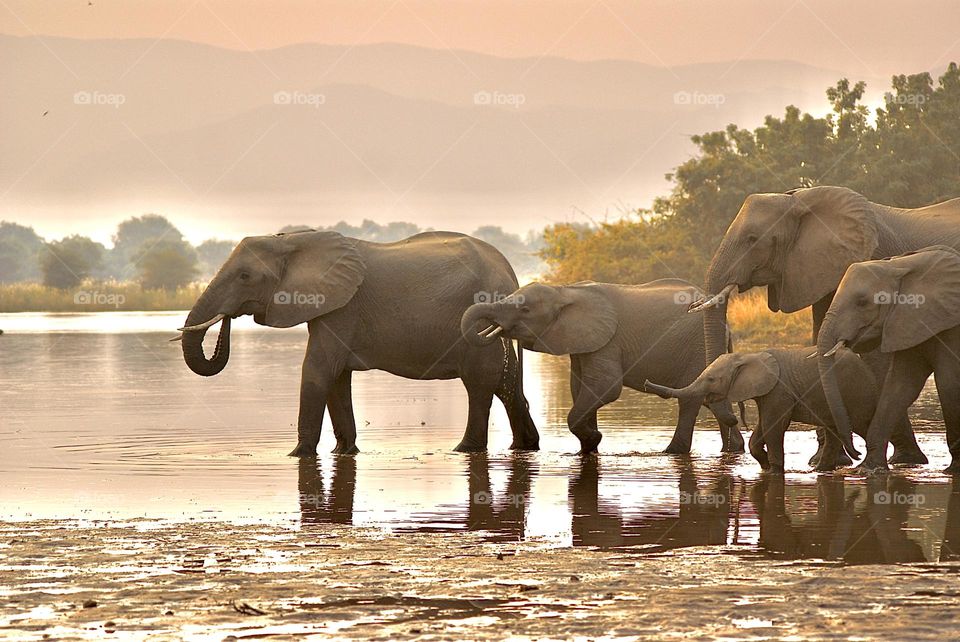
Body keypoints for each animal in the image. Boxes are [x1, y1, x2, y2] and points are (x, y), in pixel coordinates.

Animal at [178, 230, 540, 456]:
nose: (227, 318)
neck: (294, 240)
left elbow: (317, 371)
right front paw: (344, 451)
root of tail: (510, 272)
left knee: (479, 383)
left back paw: (464, 449)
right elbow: (336, 379)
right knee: (505, 383)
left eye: (245, 277)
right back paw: (525, 446)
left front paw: (297, 455)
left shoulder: (341, 309)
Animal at [462, 278, 748, 452]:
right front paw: (590, 446)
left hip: (696, 347)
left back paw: (671, 453)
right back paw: (733, 449)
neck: (564, 290)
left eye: (525, 311)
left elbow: (606, 387)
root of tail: (727, 328)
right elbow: (580, 388)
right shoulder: (582, 343)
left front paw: (593, 440)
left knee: (689, 400)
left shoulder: (607, 341)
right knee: (709, 398)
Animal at [644, 344, 876, 470]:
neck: (748, 357)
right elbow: (762, 426)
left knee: (864, 425)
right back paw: (820, 470)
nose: (646, 383)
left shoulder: (779, 390)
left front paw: (774, 470)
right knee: (834, 433)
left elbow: (774, 427)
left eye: (711, 379)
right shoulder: (767, 392)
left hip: (856, 392)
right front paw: (764, 465)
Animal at [812, 244, 960, 470]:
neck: (899, 265)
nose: (855, 454)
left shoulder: (951, 329)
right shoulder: (906, 321)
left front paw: (953, 470)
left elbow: (949, 384)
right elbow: (899, 386)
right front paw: (868, 469)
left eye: (862, 302)